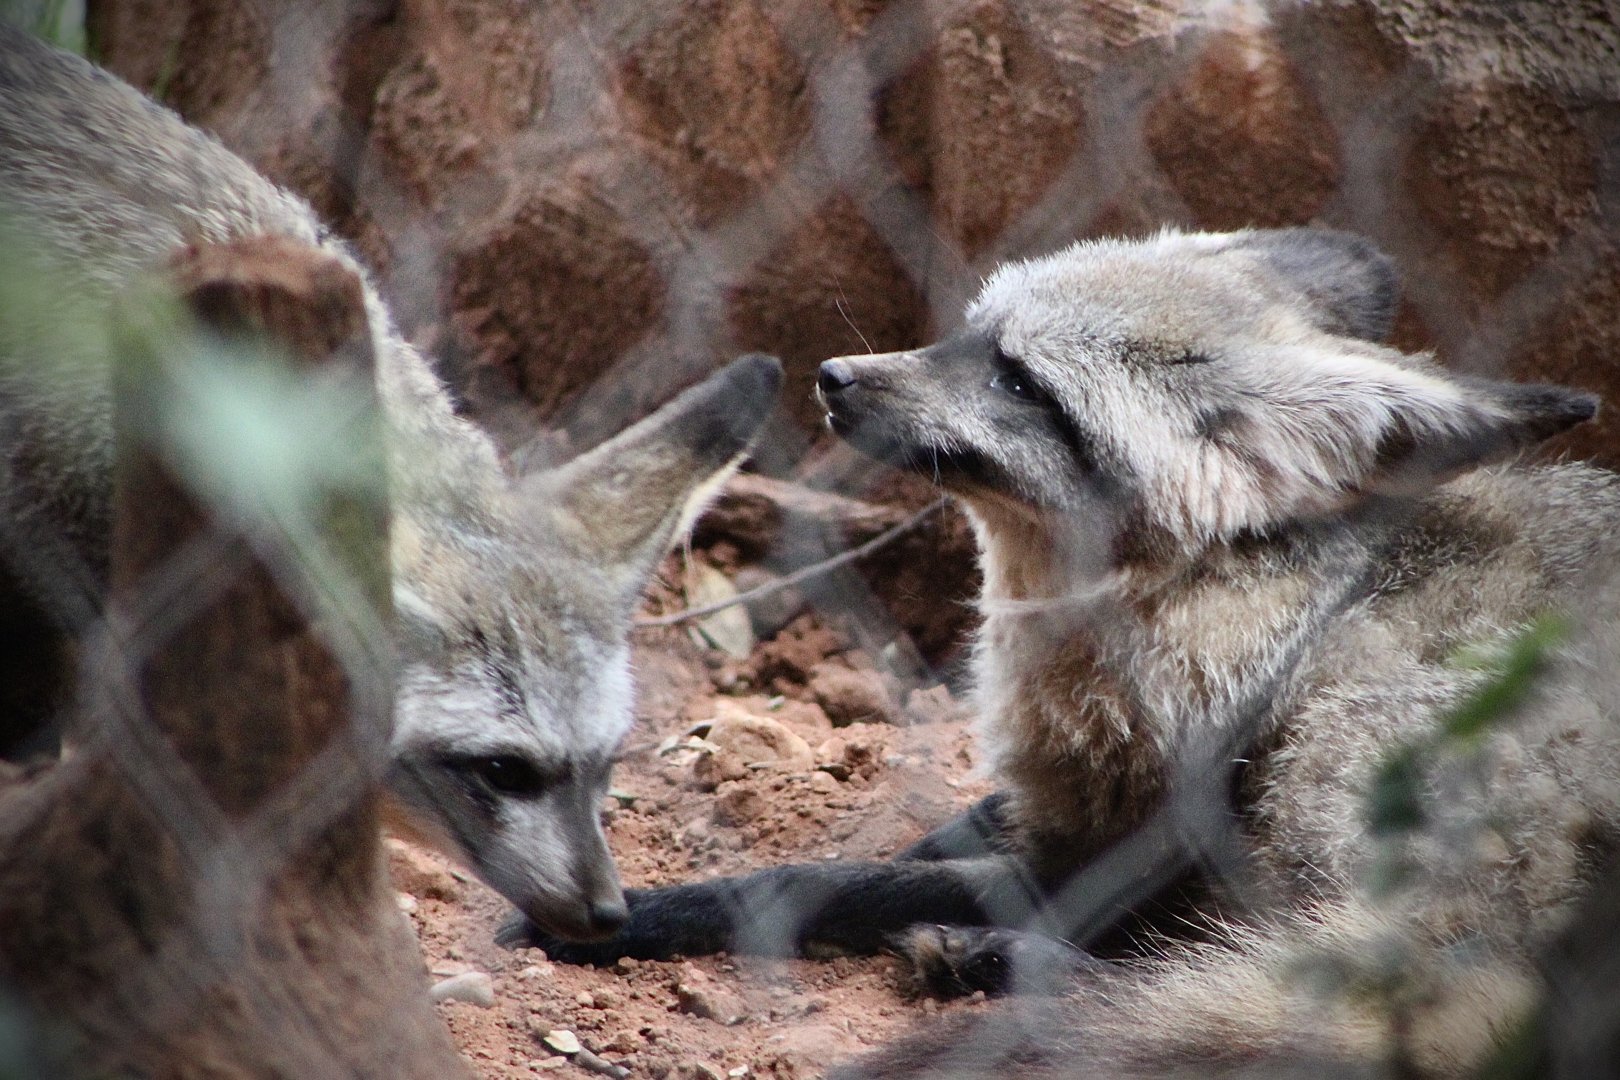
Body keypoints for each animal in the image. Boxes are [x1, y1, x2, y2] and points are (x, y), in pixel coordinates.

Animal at [505, 225, 1620, 1076]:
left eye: (1024, 384)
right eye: (973, 333)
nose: (831, 376)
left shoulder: (1127, 843)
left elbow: (822, 880)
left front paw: (630, 916)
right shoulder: (1055, 804)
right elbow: (922, 843)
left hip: (1345, 761)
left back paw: (997, 960)